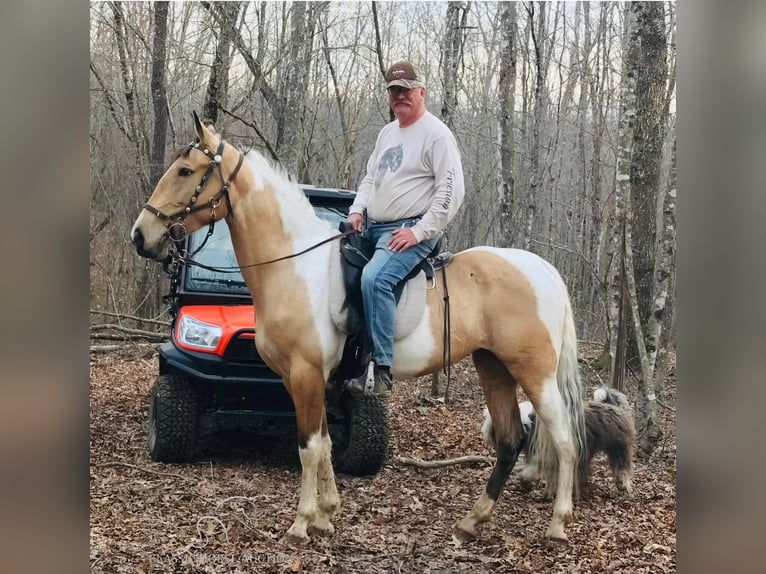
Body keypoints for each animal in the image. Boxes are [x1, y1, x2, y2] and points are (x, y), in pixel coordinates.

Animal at [130, 115, 588, 548]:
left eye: (186, 171)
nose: (140, 236)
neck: (296, 267)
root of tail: (542, 270)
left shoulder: (306, 374)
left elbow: (308, 447)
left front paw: (301, 524)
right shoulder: (307, 379)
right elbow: (325, 443)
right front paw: (326, 516)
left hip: (534, 374)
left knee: (565, 439)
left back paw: (558, 524)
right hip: (494, 368)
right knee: (510, 441)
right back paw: (471, 523)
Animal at [484, 388, 640, 500]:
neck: (528, 423)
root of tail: (610, 404)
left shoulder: (547, 455)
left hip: (618, 449)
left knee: (622, 468)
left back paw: (623, 487)